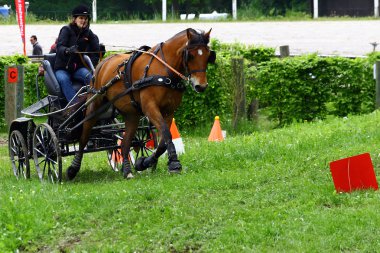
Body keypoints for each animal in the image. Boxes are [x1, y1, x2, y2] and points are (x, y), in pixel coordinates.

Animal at [66, 27, 215, 180]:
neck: (164, 70)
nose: (201, 86)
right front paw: (174, 163)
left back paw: (127, 171)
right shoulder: (150, 108)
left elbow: (163, 140)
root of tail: (103, 62)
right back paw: (73, 169)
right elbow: (166, 133)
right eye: (190, 55)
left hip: (131, 115)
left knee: (125, 143)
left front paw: (144, 162)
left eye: (208, 55)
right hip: (94, 105)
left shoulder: (168, 111)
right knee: (84, 137)